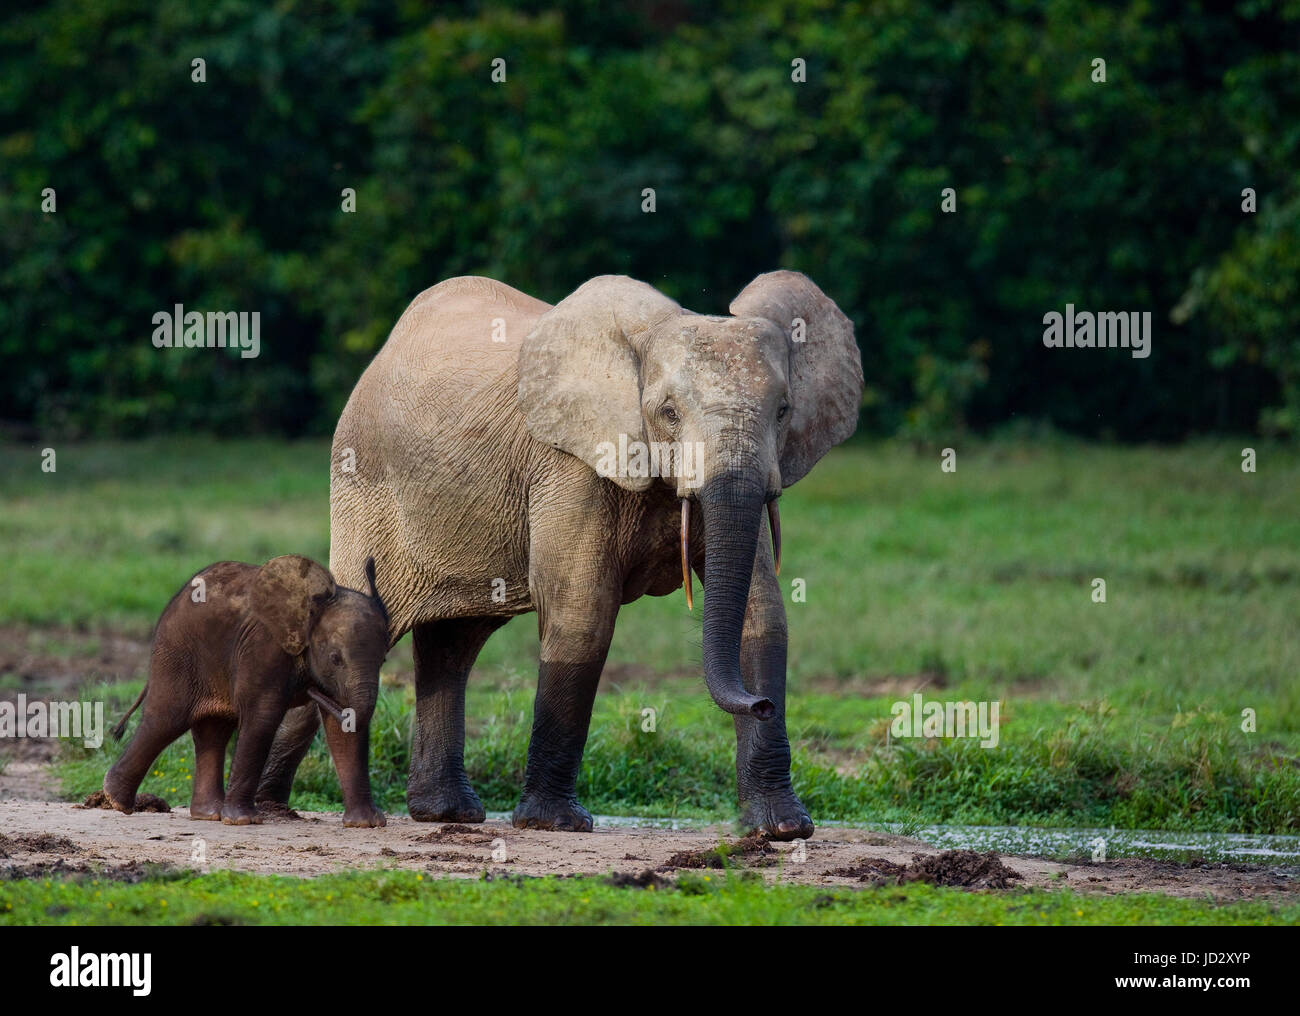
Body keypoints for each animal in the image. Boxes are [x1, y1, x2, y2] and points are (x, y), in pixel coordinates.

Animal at [104, 555, 389, 827]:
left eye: (383, 661)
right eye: (335, 659)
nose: (310, 689)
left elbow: (343, 729)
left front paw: (367, 823)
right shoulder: (264, 647)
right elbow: (263, 717)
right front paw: (243, 820)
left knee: (213, 729)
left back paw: (208, 814)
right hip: (177, 653)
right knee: (166, 719)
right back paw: (117, 800)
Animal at [256, 271, 863, 840]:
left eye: (783, 411)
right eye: (667, 412)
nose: (760, 703)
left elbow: (763, 613)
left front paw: (783, 830)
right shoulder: (569, 464)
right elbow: (582, 612)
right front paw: (556, 824)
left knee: (453, 645)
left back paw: (442, 814)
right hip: (364, 489)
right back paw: (266, 811)